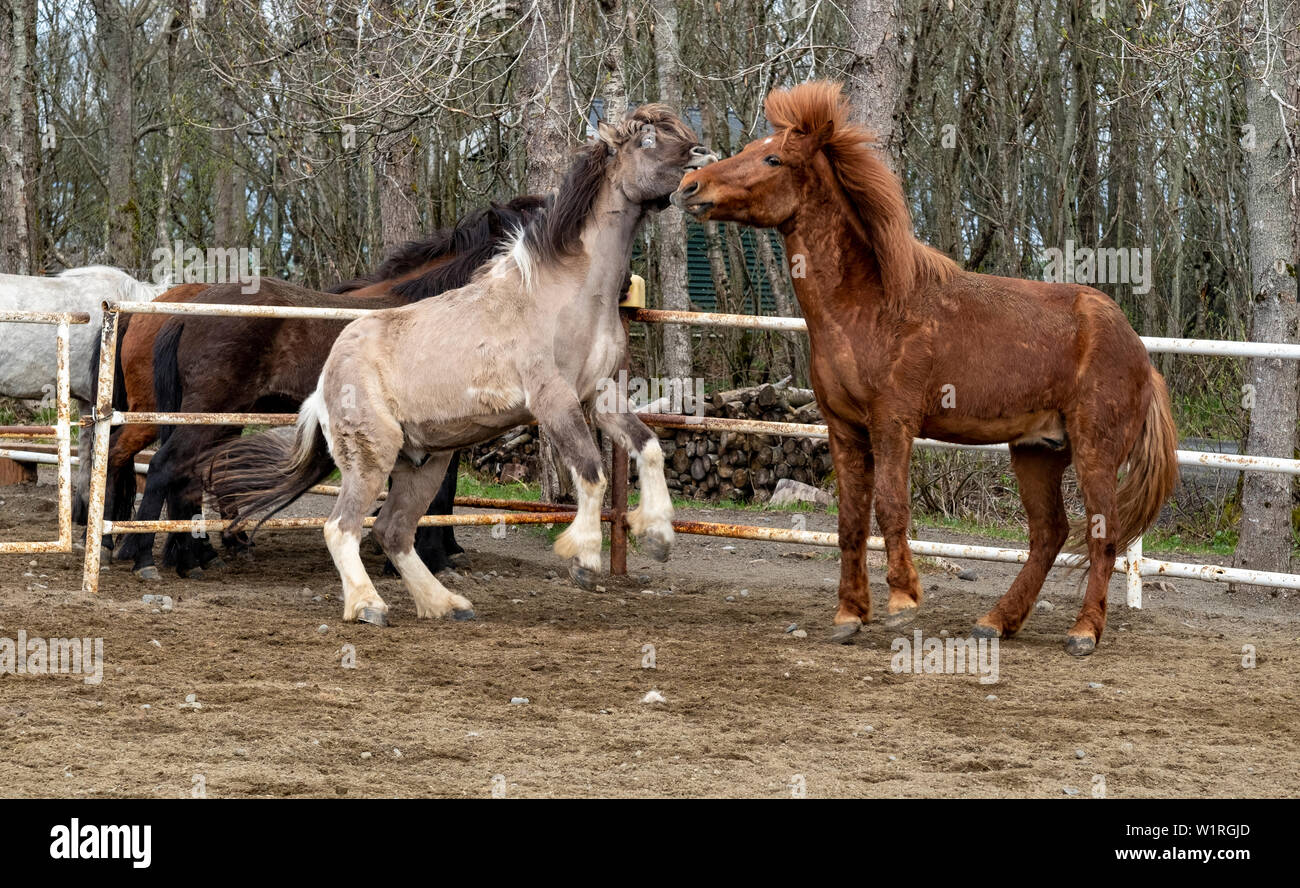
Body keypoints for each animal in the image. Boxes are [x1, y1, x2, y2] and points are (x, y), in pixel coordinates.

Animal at [113, 197, 547, 580]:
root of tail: (183, 313)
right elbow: (436, 495)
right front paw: (428, 559)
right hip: (204, 415)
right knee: (162, 466)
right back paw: (141, 555)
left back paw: (187, 557)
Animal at [204, 105, 714, 625]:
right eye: (647, 140)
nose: (703, 159)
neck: (566, 295)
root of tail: (326, 381)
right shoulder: (554, 401)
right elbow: (592, 472)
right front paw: (585, 561)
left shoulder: (601, 396)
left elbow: (649, 447)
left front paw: (658, 537)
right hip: (371, 458)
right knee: (341, 527)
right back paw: (368, 606)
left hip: (423, 463)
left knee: (391, 531)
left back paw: (444, 604)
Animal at [672, 81, 1177, 656]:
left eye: (772, 158)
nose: (690, 185)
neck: (870, 305)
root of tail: (1140, 354)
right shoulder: (843, 429)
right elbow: (850, 520)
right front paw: (849, 614)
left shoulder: (893, 423)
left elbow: (891, 507)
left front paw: (901, 602)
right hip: (1038, 451)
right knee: (1049, 533)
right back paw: (997, 621)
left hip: (1095, 451)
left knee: (1102, 533)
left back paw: (1084, 631)